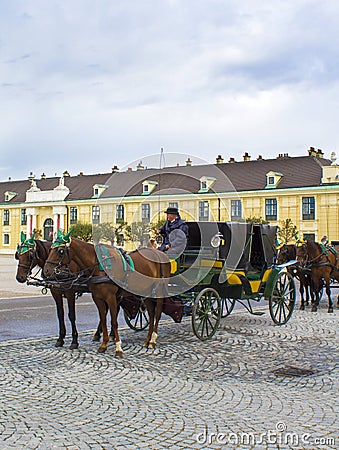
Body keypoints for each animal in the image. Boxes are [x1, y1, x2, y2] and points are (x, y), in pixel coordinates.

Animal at [43, 234, 171, 356]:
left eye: (60, 251)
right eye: (50, 249)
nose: (46, 271)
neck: (99, 267)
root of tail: (161, 254)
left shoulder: (111, 298)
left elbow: (114, 322)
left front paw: (118, 348)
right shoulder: (98, 298)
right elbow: (103, 320)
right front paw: (103, 345)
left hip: (159, 290)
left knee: (157, 313)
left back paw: (153, 340)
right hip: (146, 291)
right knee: (151, 313)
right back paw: (147, 340)